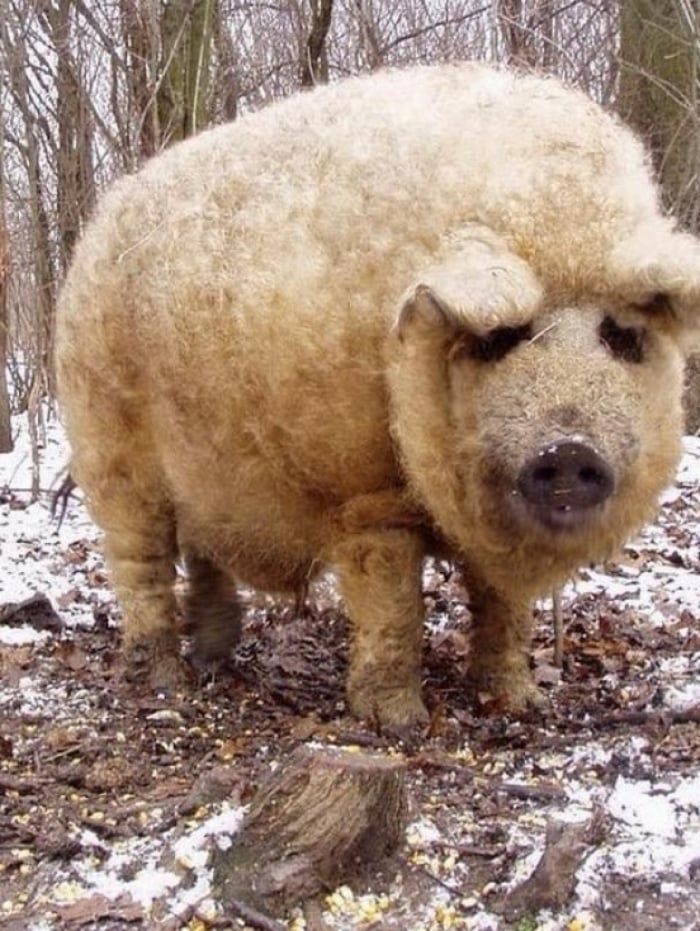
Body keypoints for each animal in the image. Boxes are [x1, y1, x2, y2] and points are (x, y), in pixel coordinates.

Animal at [55, 62, 700, 730]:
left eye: (622, 337)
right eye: (500, 339)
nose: (569, 448)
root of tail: (101, 221)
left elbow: (501, 605)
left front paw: (520, 703)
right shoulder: (365, 491)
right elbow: (394, 600)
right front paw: (399, 722)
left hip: (203, 470)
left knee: (203, 555)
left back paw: (215, 661)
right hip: (108, 446)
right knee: (140, 561)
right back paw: (163, 683)